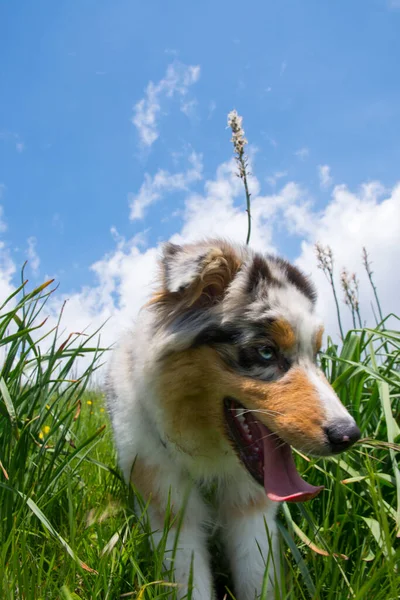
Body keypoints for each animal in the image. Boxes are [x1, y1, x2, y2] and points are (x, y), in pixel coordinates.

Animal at [105, 239, 360, 600]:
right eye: (266, 352)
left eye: (317, 355)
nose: (348, 435)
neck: (208, 452)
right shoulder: (169, 505)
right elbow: (189, 581)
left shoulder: (251, 508)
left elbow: (257, 576)